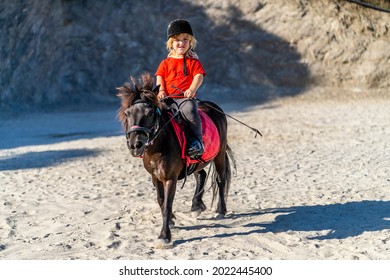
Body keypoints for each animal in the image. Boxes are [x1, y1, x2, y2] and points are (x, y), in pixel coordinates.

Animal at [116, 73, 235, 248]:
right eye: (127, 113)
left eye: (150, 113)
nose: (135, 144)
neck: (158, 147)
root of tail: (215, 108)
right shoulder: (155, 177)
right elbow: (161, 201)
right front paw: (171, 221)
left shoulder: (170, 178)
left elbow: (167, 204)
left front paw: (164, 236)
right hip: (196, 163)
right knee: (202, 175)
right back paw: (196, 205)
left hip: (219, 156)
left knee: (220, 180)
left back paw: (221, 210)